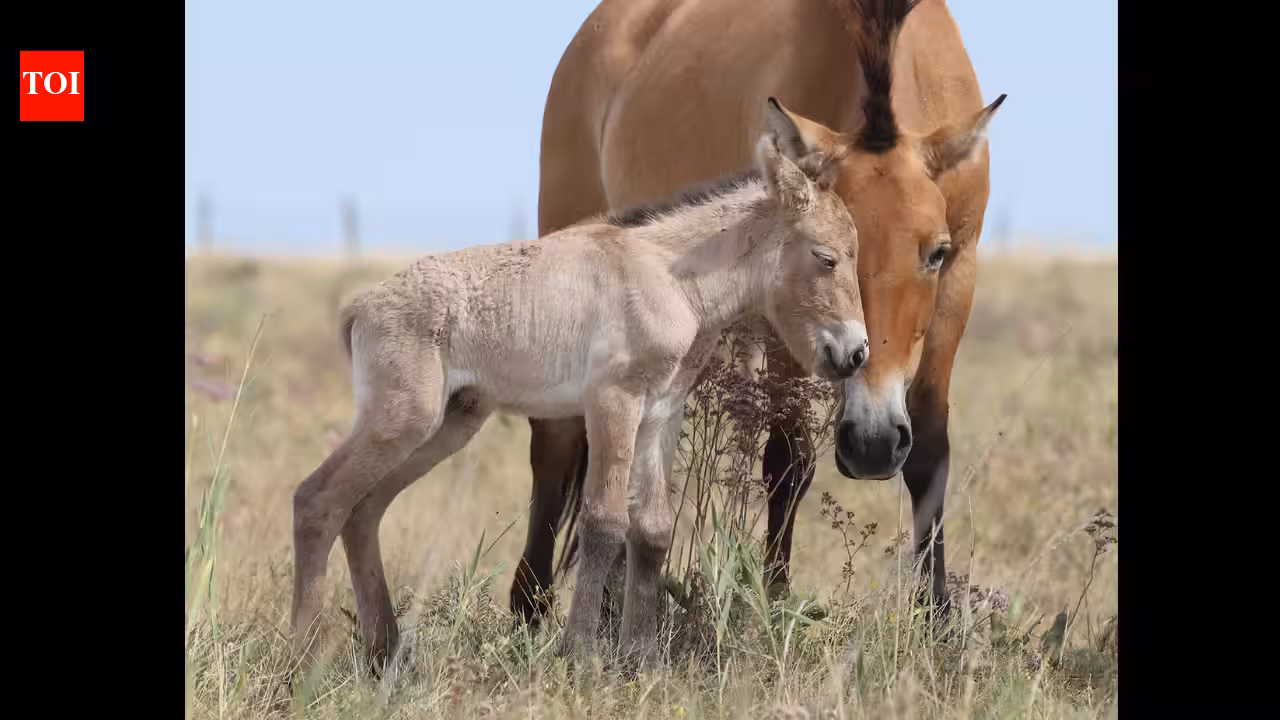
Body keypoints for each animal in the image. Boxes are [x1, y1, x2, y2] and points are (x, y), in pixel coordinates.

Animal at [290, 114, 870, 673]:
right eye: (826, 258)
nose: (855, 353)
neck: (670, 277)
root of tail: (361, 306)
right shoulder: (613, 402)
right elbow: (605, 522)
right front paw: (581, 656)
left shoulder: (660, 413)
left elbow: (652, 529)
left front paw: (644, 660)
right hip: (402, 420)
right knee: (318, 500)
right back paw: (302, 657)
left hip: (448, 425)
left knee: (362, 511)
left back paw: (384, 652)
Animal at [511, 0, 1005, 630]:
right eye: (819, 254)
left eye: (935, 253)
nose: (871, 445)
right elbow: (788, 460)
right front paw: (773, 605)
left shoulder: (960, 279)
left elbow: (930, 452)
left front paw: (936, 618)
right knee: (555, 441)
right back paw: (529, 607)